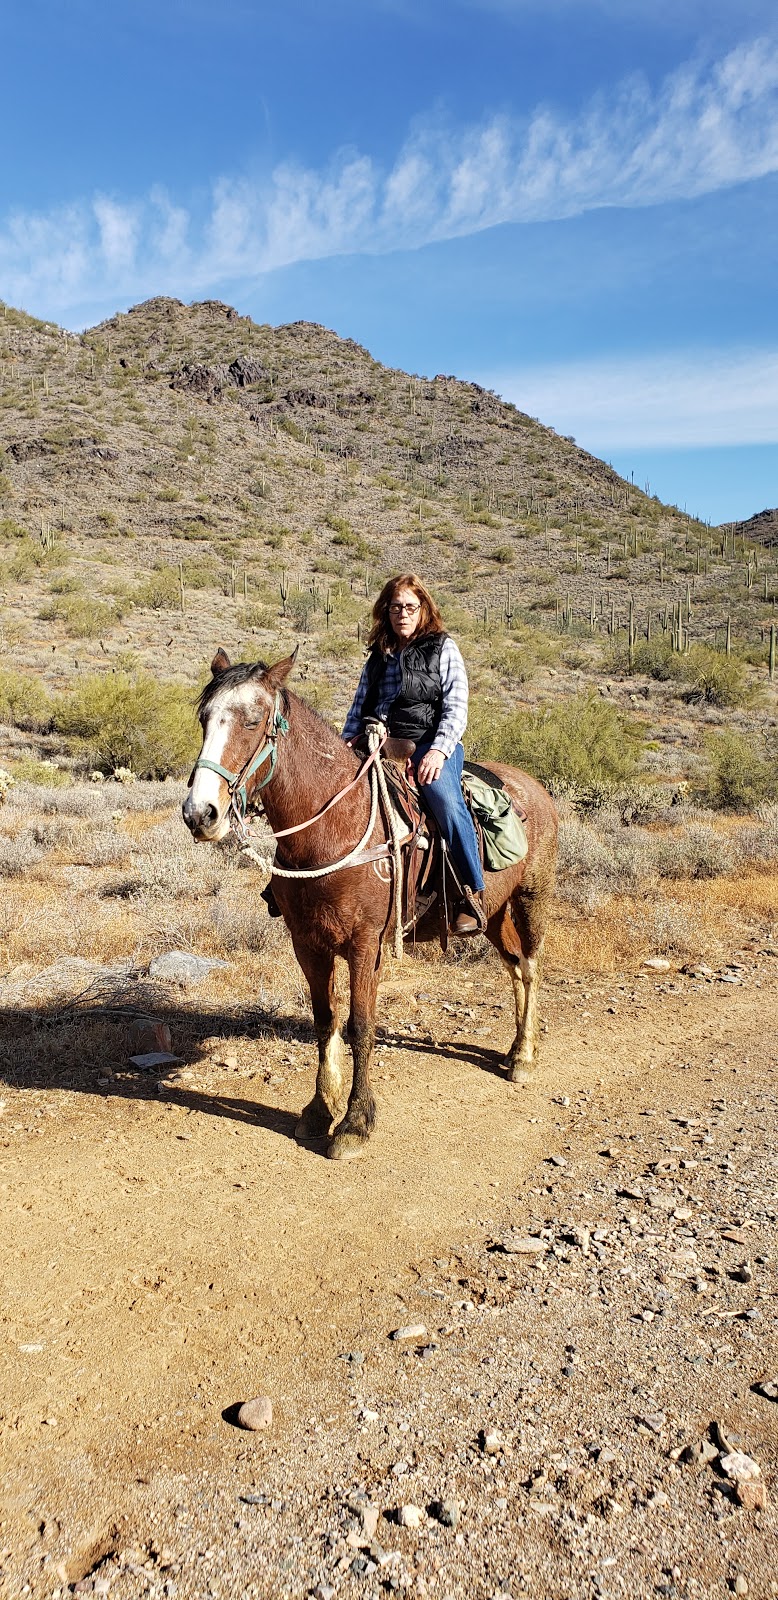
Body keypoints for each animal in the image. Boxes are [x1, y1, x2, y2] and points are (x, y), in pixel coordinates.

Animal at [182, 649, 560, 1164]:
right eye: (203, 718)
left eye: (253, 721)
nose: (200, 814)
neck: (332, 829)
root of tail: (533, 786)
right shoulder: (308, 945)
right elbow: (325, 1021)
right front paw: (320, 1109)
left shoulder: (366, 946)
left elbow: (361, 1026)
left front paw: (355, 1123)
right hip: (492, 915)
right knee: (516, 967)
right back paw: (513, 1049)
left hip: (531, 898)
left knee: (533, 967)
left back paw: (524, 1055)